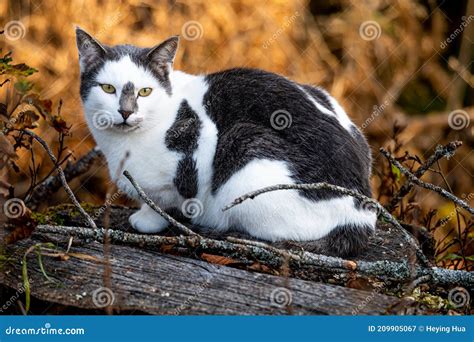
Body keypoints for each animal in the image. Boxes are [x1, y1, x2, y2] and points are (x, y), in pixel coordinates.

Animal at [76, 27, 376, 256]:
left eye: (145, 91)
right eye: (108, 88)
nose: (126, 112)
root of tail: (361, 213)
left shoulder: (198, 147)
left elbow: (165, 200)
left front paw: (148, 219)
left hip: (244, 150)